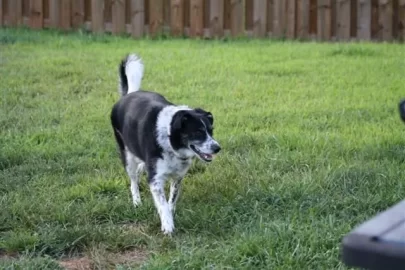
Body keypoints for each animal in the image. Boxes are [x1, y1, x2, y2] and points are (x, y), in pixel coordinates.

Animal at [109, 54, 221, 234]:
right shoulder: (155, 180)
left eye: (211, 131)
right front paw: (168, 226)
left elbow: (171, 200)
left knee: (140, 169)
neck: (170, 141)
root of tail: (128, 95)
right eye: (198, 132)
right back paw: (137, 201)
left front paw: (170, 213)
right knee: (133, 180)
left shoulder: (178, 176)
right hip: (127, 155)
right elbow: (162, 204)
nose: (217, 148)